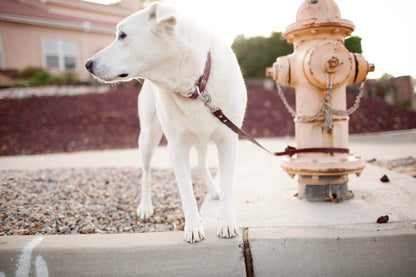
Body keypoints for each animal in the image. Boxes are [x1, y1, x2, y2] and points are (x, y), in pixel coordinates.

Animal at [85, 2, 247, 242]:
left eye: (122, 35)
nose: (87, 64)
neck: (196, 85)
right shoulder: (177, 147)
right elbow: (186, 193)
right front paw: (193, 227)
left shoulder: (228, 140)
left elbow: (227, 187)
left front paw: (226, 223)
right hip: (148, 137)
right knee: (146, 174)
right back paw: (145, 207)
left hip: (202, 138)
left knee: (201, 164)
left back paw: (212, 189)